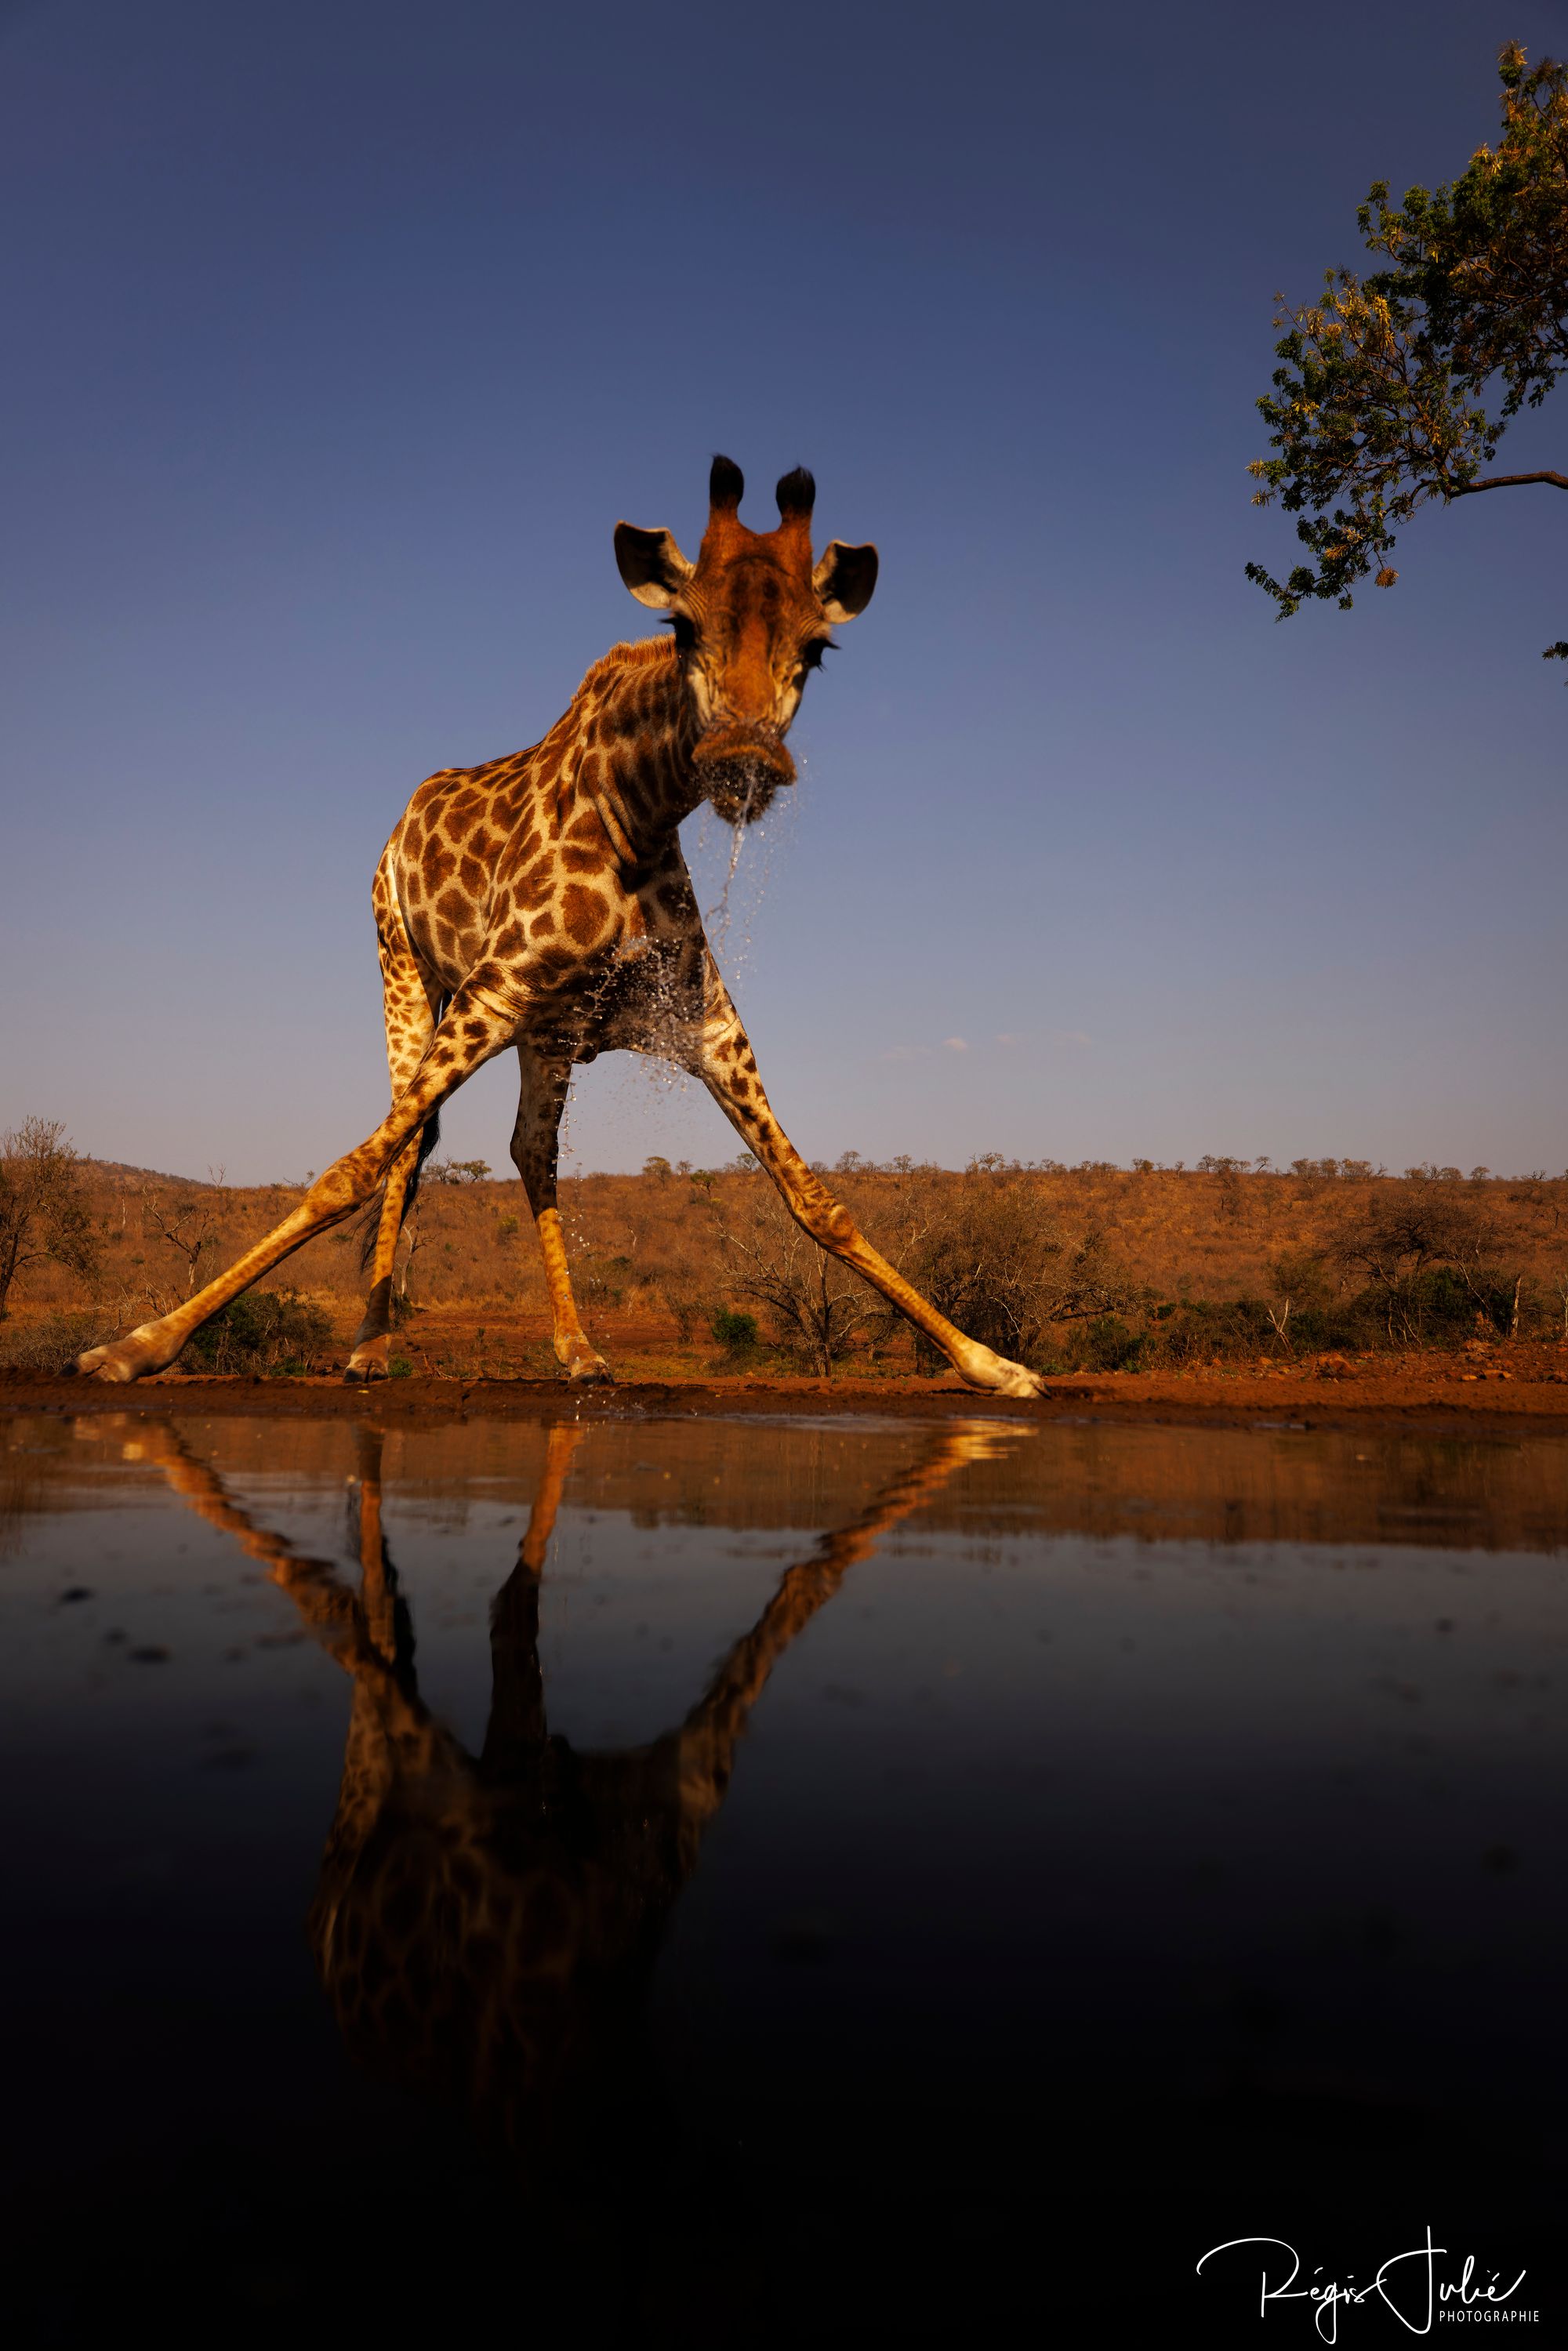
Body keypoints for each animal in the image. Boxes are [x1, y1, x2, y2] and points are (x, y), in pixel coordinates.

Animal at [76, 467, 1053, 1401]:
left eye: (815, 648)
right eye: (682, 628)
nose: (743, 758)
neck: (640, 810)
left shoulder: (700, 1022)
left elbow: (816, 1200)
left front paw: (990, 1363)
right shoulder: (496, 985)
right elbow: (347, 1169)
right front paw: (135, 1345)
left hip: (542, 1031)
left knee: (527, 1149)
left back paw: (576, 1351)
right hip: (406, 967)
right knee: (412, 1139)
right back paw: (369, 1351)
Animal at [113, 1401, 1020, 2153]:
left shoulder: (665, 1794)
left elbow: (784, 1602)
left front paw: (999, 1376)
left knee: (391, 1619)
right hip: (390, 1759)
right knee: (364, 1629)